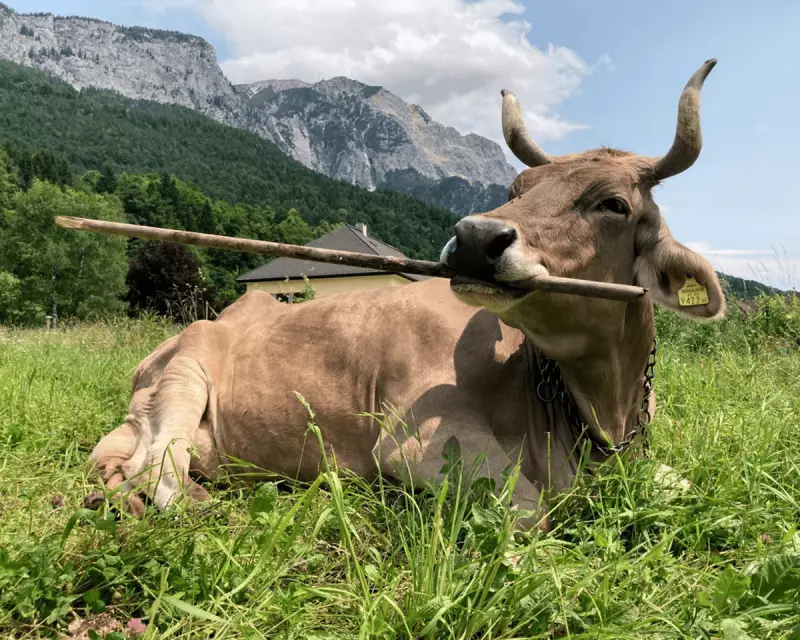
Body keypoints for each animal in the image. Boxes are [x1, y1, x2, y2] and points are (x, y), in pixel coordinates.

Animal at [85, 59, 725, 531]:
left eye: (613, 204)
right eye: (517, 188)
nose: (475, 237)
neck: (599, 414)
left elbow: (693, 486)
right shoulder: (418, 443)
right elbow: (531, 512)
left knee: (125, 466)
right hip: (184, 375)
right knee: (155, 470)